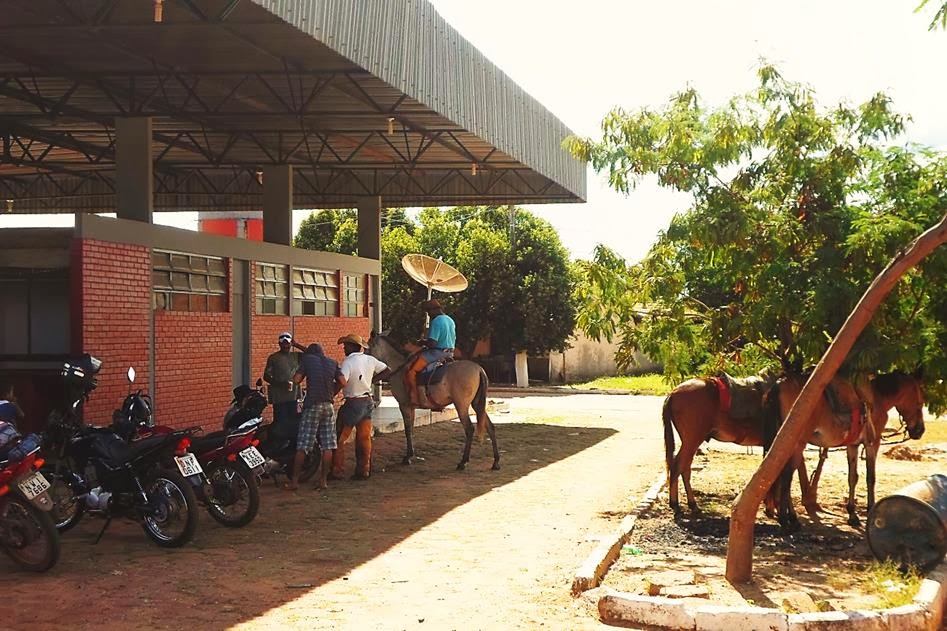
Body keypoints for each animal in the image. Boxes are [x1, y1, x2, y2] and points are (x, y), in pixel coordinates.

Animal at [364, 334, 504, 472]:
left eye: (367, 349)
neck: (400, 368)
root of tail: (479, 369)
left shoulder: (404, 405)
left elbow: (407, 430)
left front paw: (407, 457)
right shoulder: (411, 407)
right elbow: (411, 429)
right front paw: (411, 454)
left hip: (461, 406)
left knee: (469, 429)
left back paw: (463, 462)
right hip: (477, 404)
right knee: (490, 426)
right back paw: (496, 461)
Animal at [660, 376, 776, 512]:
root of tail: (673, 393)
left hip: (690, 442)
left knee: (685, 468)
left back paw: (691, 504)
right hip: (692, 440)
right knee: (678, 467)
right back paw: (675, 504)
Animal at [764, 368, 924, 532]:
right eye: (920, 401)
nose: (920, 430)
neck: (877, 398)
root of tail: (779, 384)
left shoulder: (853, 445)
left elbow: (853, 477)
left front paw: (852, 515)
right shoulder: (872, 444)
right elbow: (870, 478)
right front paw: (870, 510)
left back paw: (789, 517)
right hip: (796, 443)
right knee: (786, 476)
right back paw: (787, 519)